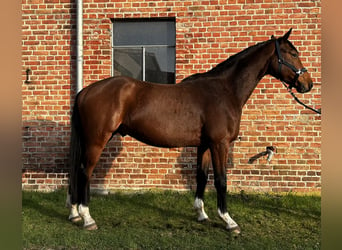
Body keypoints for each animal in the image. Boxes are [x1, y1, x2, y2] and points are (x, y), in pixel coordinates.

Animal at [66, 28, 312, 233]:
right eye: (292, 53)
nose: (308, 84)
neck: (224, 91)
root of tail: (85, 91)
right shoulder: (220, 144)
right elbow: (221, 180)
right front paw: (229, 221)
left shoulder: (204, 145)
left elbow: (201, 177)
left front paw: (201, 214)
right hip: (97, 140)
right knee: (84, 172)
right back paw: (87, 218)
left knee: (76, 171)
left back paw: (74, 213)